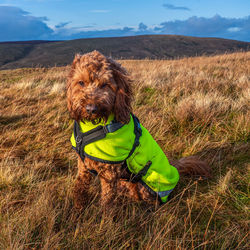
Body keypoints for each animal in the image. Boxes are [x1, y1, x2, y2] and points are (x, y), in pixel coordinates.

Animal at [66, 50, 211, 211]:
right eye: (81, 82)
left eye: (105, 85)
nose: (91, 109)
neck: (92, 128)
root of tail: (173, 167)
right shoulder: (83, 166)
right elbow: (80, 187)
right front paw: (78, 209)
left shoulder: (109, 173)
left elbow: (107, 200)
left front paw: (105, 216)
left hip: (144, 184)